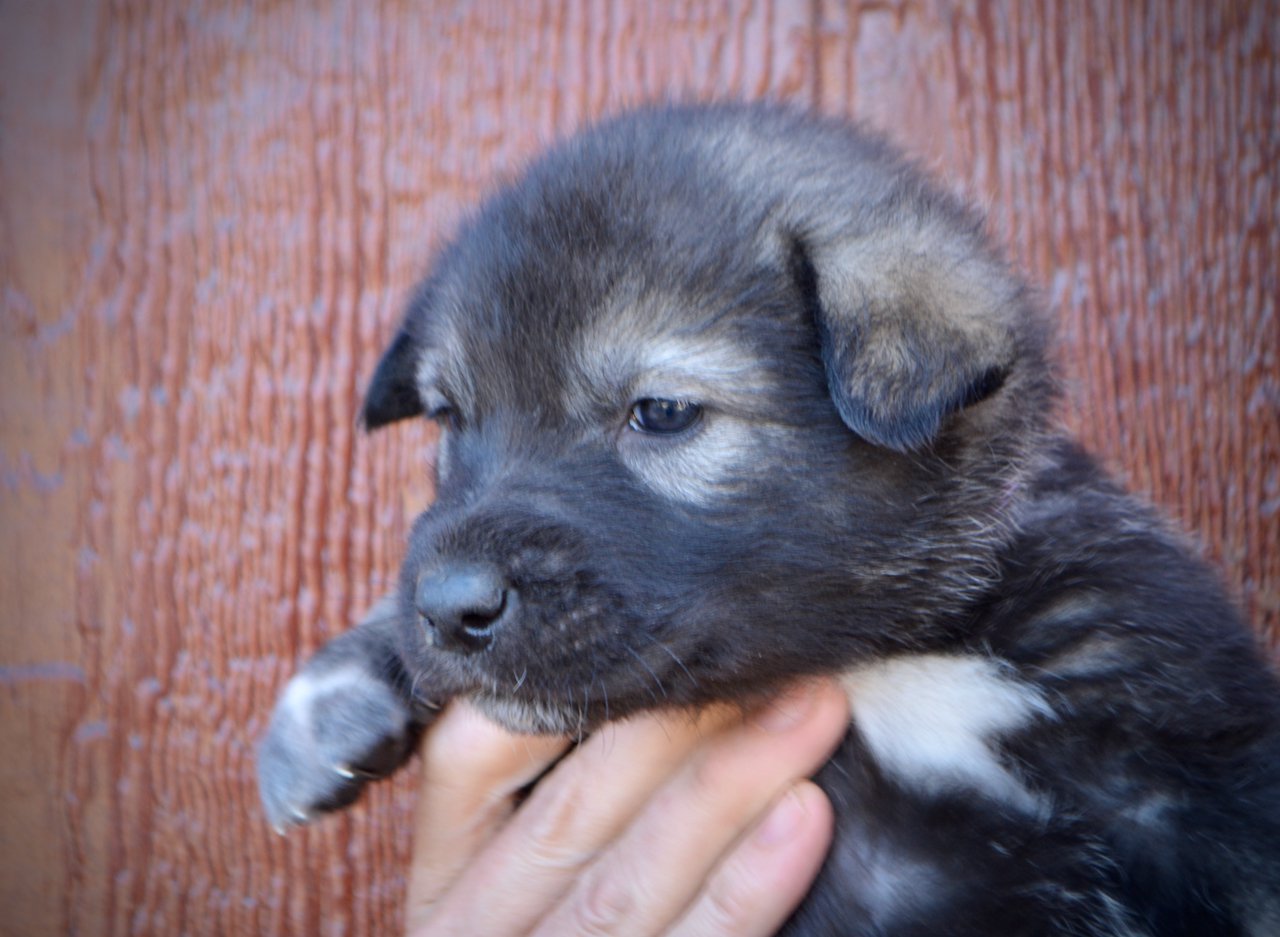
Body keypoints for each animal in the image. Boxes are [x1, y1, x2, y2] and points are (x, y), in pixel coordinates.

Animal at [259, 104, 1280, 937]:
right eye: (450, 418)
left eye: (663, 411)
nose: (449, 606)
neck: (880, 653)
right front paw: (340, 690)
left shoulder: (1186, 766)